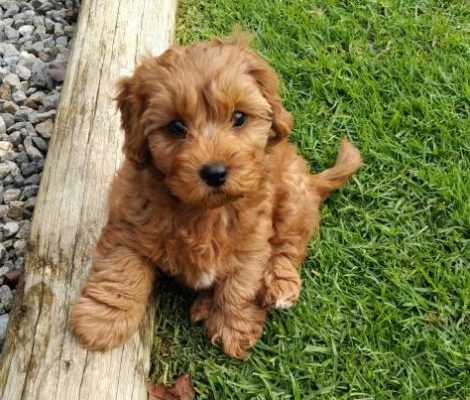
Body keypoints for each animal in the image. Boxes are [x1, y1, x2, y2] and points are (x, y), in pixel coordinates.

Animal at [70, 32, 362, 358]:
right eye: (176, 126)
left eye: (239, 117)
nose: (215, 172)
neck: (204, 212)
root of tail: (312, 181)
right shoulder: (129, 225)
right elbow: (120, 272)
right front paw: (100, 322)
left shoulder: (252, 244)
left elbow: (239, 286)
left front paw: (233, 327)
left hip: (292, 197)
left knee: (289, 247)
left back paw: (279, 287)